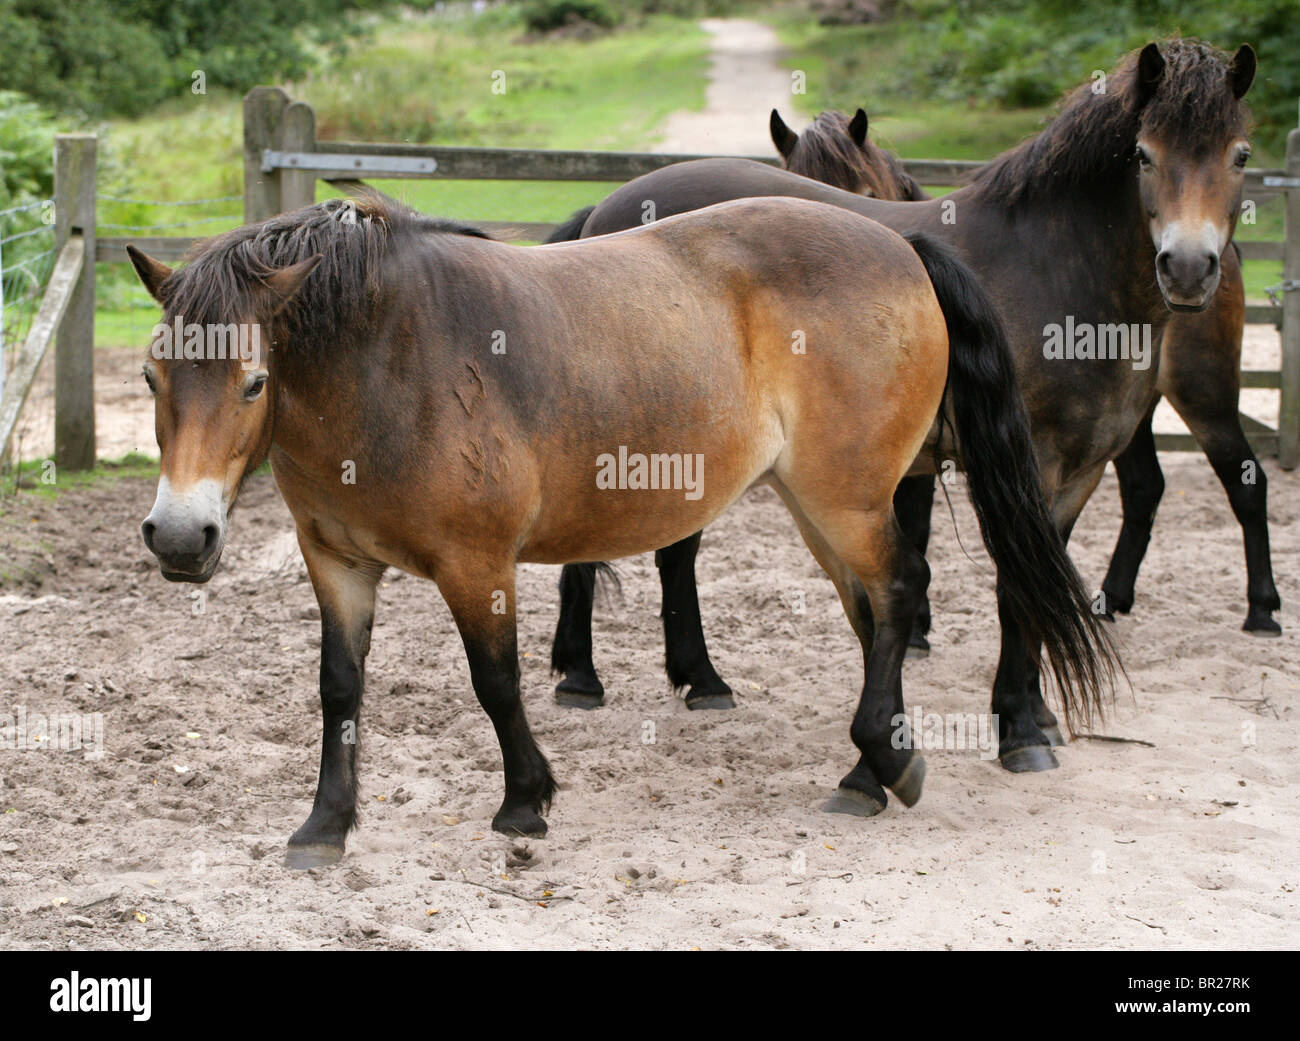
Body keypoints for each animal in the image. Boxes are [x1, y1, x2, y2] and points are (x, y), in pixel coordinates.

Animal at [128, 193, 1116, 866]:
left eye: (254, 381)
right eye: (150, 378)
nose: (179, 537)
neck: (388, 360)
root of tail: (901, 243)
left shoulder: (476, 564)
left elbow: (496, 684)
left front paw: (526, 801)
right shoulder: (335, 563)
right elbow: (339, 690)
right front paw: (325, 825)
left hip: (848, 498)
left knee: (901, 590)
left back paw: (887, 763)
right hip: (818, 506)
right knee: (875, 612)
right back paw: (870, 773)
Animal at [545, 39, 1268, 772]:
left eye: (1240, 156)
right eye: (1144, 154)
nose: (1187, 267)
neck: (1052, 267)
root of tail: (604, 213)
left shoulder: (1078, 472)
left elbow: (1041, 580)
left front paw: (1035, 711)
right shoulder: (1025, 465)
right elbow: (1016, 587)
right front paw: (1019, 728)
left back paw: (697, 679)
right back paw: (586, 677)